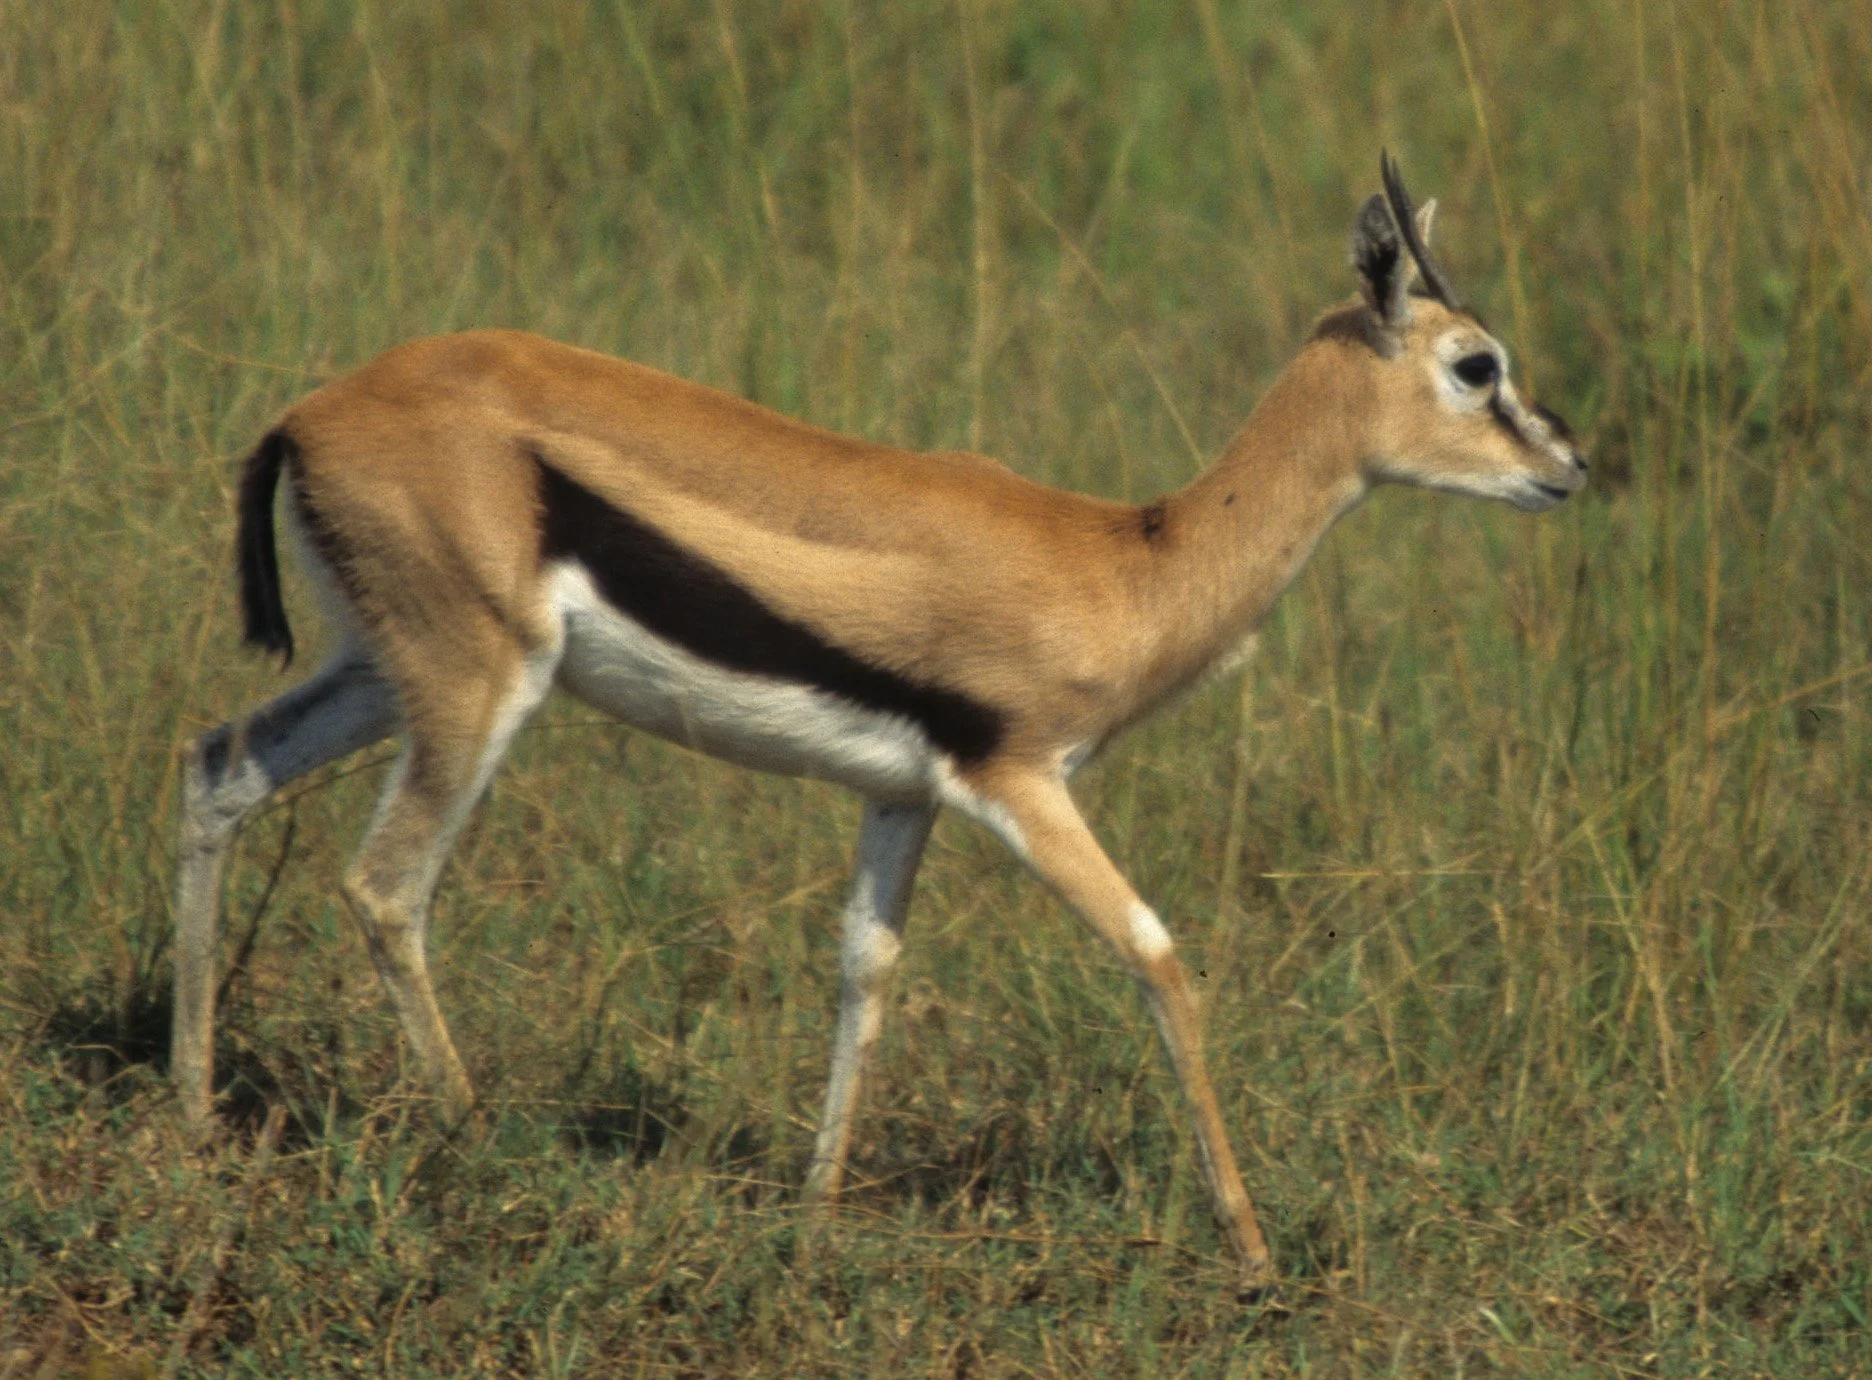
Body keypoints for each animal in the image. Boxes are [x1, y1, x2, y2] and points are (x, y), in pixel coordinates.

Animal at [172, 156, 1585, 1288]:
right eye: (1478, 365)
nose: (1569, 467)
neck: (1128, 560)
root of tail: (310, 411)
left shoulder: (901, 795)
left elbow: (866, 969)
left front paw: (811, 1217)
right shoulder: (1021, 782)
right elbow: (1158, 956)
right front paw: (1253, 1253)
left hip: (380, 670)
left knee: (217, 769)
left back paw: (190, 1116)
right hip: (476, 685)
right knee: (385, 887)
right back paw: (475, 1142)